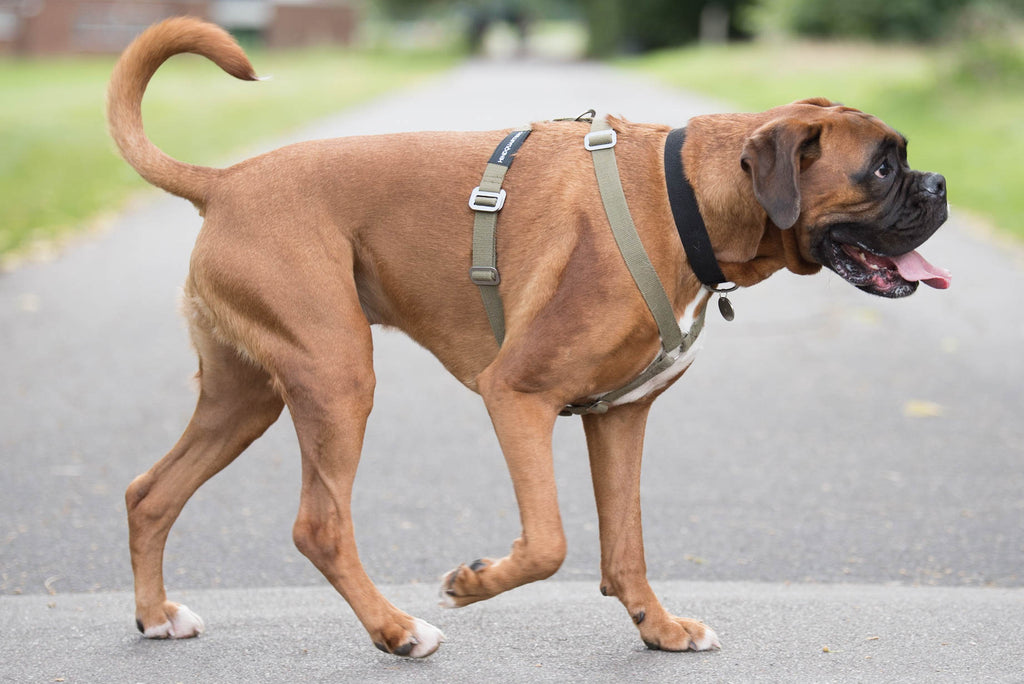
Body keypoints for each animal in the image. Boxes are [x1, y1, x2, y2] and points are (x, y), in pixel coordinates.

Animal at [108, 17, 946, 655]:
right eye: (880, 168)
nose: (939, 186)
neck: (685, 200)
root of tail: (223, 183)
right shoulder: (516, 394)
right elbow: (550, 543)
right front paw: (471, 582)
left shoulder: (621, 417)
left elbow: (625, 545)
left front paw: (658, 629)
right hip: (338, 377)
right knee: (319, 525)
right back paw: (398, 632)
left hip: (246, 399)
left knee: (150, 492)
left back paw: (155, 617)